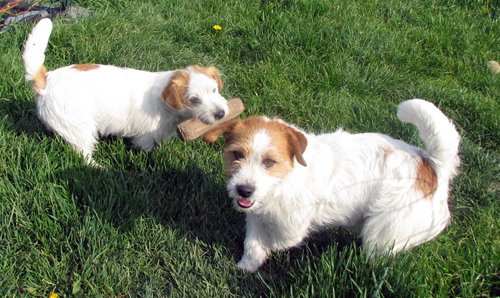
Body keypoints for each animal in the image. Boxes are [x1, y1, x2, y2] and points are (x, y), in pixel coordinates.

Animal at [22, 19, 228, 165]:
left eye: (214, 90)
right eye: (194, 99)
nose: (221, 114)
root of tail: (45, 81)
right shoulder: (147, 139)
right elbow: (147, 152)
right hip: (79, 128)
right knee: (83, 154)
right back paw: (99, 168)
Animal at [203, 99, 460, 272]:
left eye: (269, 162)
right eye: (237, 155)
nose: (244, 190)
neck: (285, 180)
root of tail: (432, 166)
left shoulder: (291, 227)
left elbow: (277, 241)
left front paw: (265, 252)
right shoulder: (256, 217)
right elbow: (253, 242)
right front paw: (248, 265)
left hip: (384, 233)